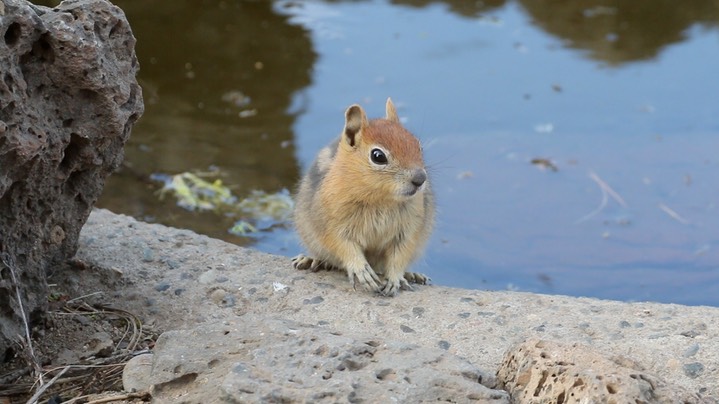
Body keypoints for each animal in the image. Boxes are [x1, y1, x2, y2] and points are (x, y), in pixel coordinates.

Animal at [292, 99, 434, 296]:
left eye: (418, 146)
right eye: (378, 156)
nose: (420, 179)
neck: (380, 198)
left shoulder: (409, 229)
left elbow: (400, 254)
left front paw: (395, 278)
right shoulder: (333, 225)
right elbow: (343, 246)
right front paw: (361, 270)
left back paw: (412, 275)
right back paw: (311, 260)